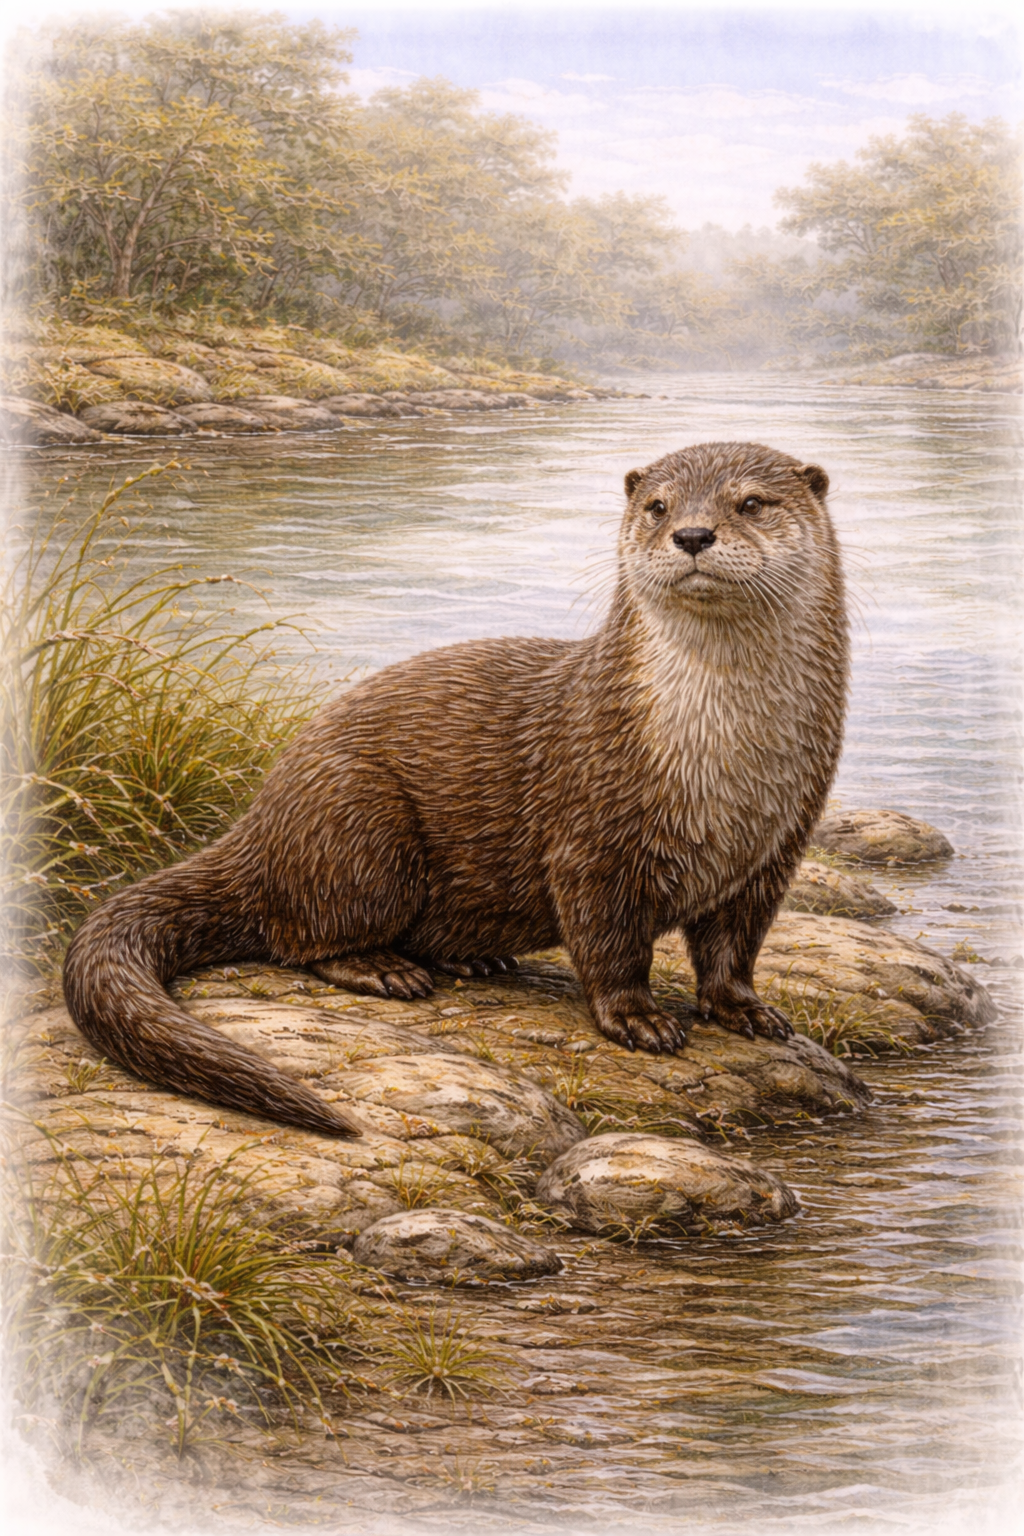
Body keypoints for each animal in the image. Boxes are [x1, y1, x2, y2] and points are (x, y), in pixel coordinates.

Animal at [63, 442, 848, 1138]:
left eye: (751, 502)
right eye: (658, 506)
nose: (692, 533)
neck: (725, 763)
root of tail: (261, 822)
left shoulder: (777, 846)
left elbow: (734, 946)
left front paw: (746, 1012)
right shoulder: (593, 831)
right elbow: (609, 940)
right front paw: (638, 1018)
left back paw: (475, 957)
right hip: (356, 828)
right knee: (301, 937)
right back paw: (384, 970)